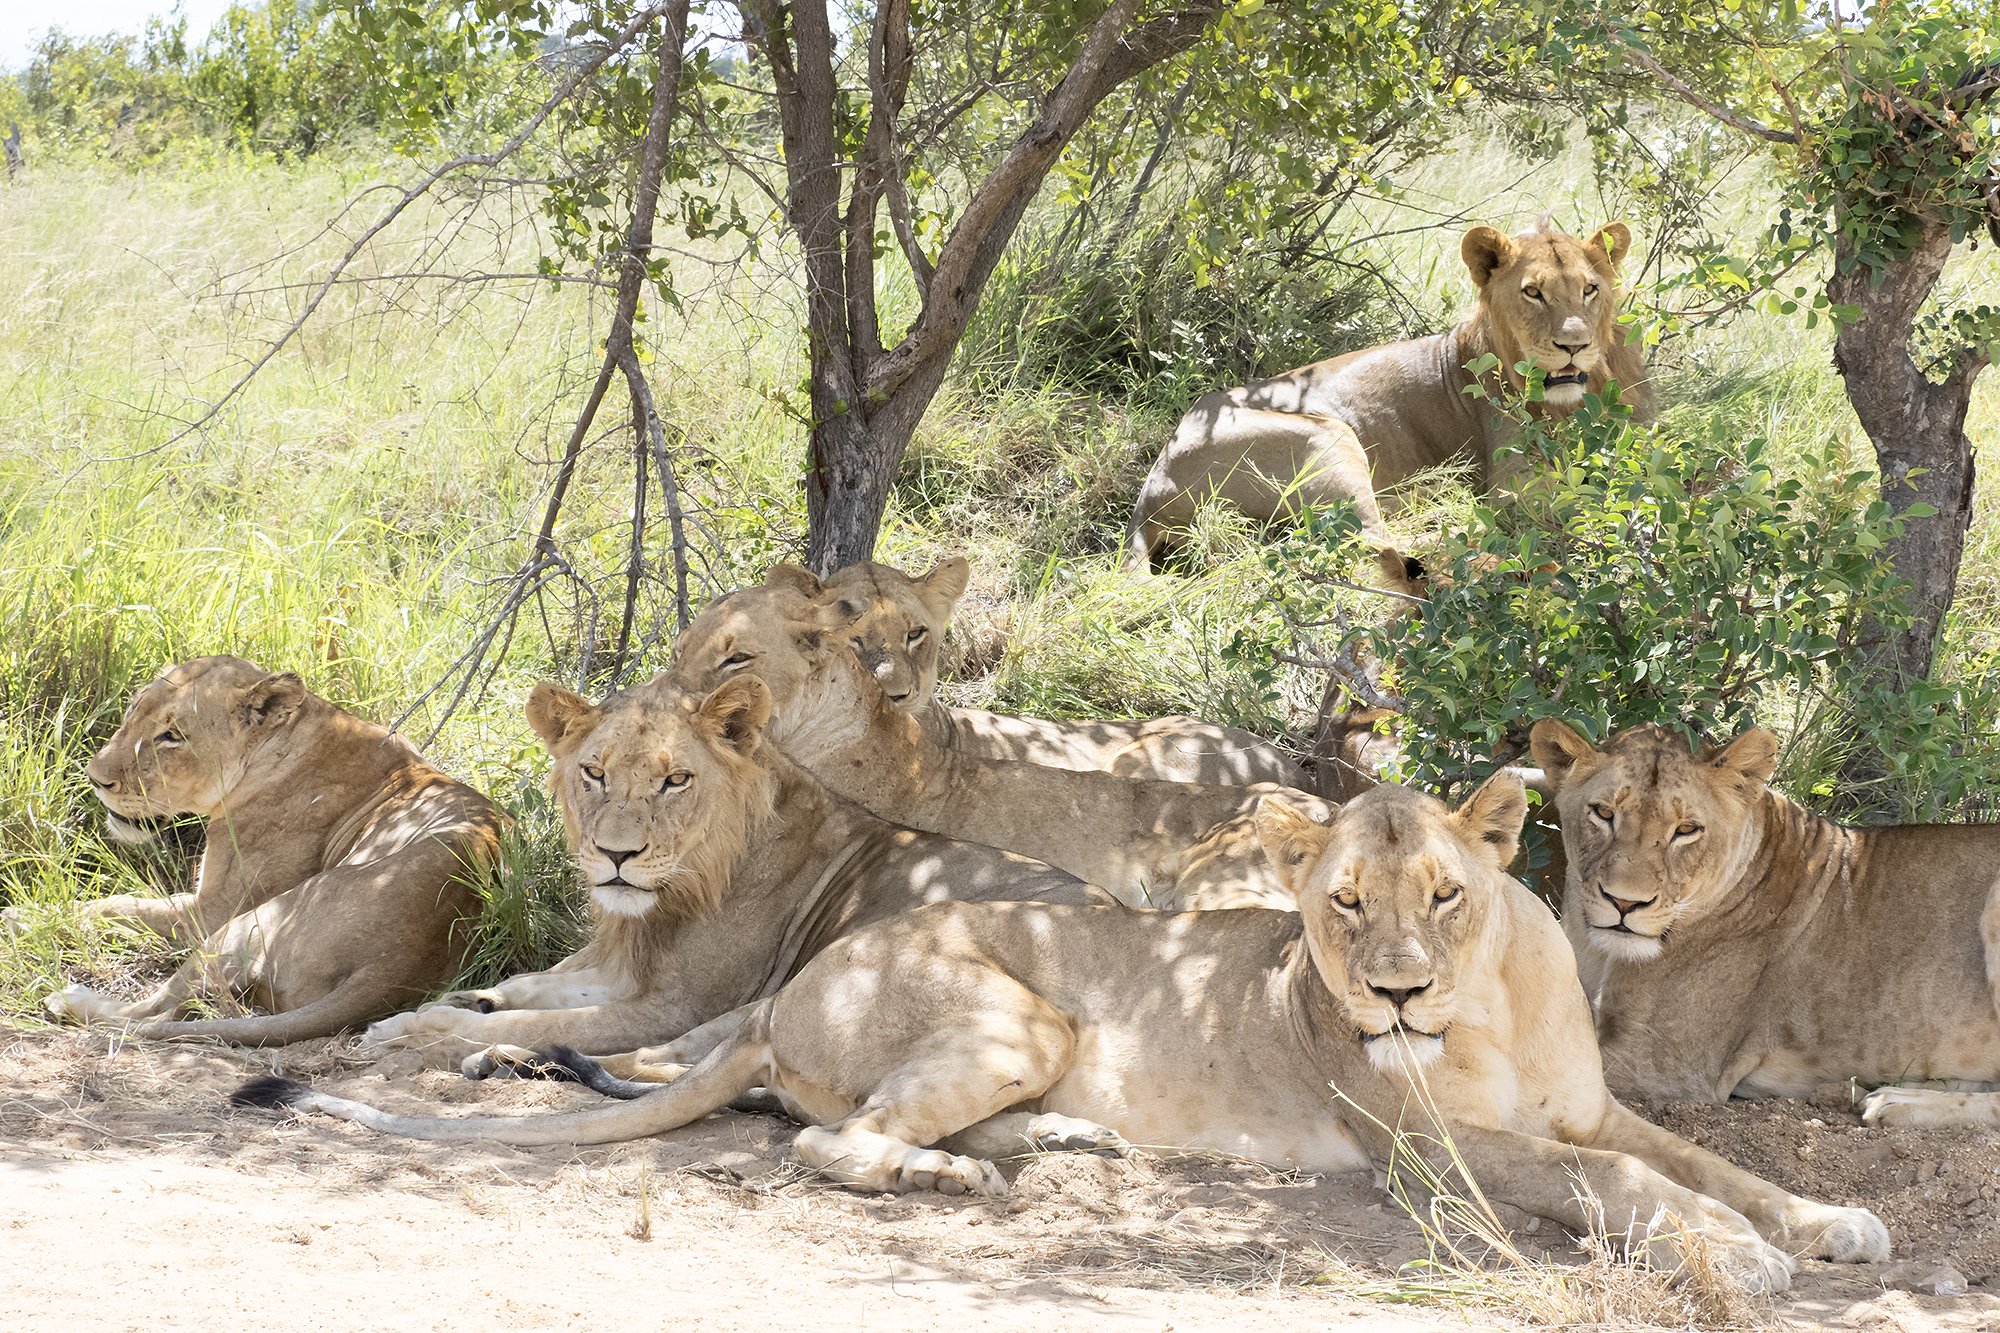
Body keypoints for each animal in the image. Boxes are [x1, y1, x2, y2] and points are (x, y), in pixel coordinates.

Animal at [33, 656, 502, 1046]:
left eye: (172, 737)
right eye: (132, 712)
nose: (95, 778)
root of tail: (396, 963)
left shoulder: (211, 911)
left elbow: (114, 906)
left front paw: (27, 918)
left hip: (242, 925)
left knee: (146, 1012)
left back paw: (66, 999)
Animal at [234, 775, 1886, 1294]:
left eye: (1445, 894)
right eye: (1342, 908)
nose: (1399, 995)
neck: (1487, 1000)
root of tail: (783, 990)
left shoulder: (1586, 1107)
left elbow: (1707, 1159)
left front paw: (1828, 1222)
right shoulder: (1429, 1151)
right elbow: (1623, 1187)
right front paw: (1738, 1258)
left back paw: (1058, 1141)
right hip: (1014, 1000)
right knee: (834, 1146)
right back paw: (967, 1176)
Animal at [359, 671, 1109, 1064]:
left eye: (675, 781)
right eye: (595, 773)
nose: (617, 855)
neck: (676, 894)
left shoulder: (674, 1004)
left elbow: (535, 1022)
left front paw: (414, 1029)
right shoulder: (628, 971)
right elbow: (529, 987)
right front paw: (462, 1001)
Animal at [1126, 218, 1650, 570]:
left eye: (1589, 289)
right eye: (1532, 293)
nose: (1574, 345)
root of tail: (1150, 492)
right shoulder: (1513, 485)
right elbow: (1583, 503)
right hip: (1328, 438)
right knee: (1376, 539)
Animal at [1531, 718, 2000, 1122]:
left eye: (1686, 830)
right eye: (1603, 813)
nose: (1625, 903)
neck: (1601, 952)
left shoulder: (1662, 1063)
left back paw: (1897, 1102)